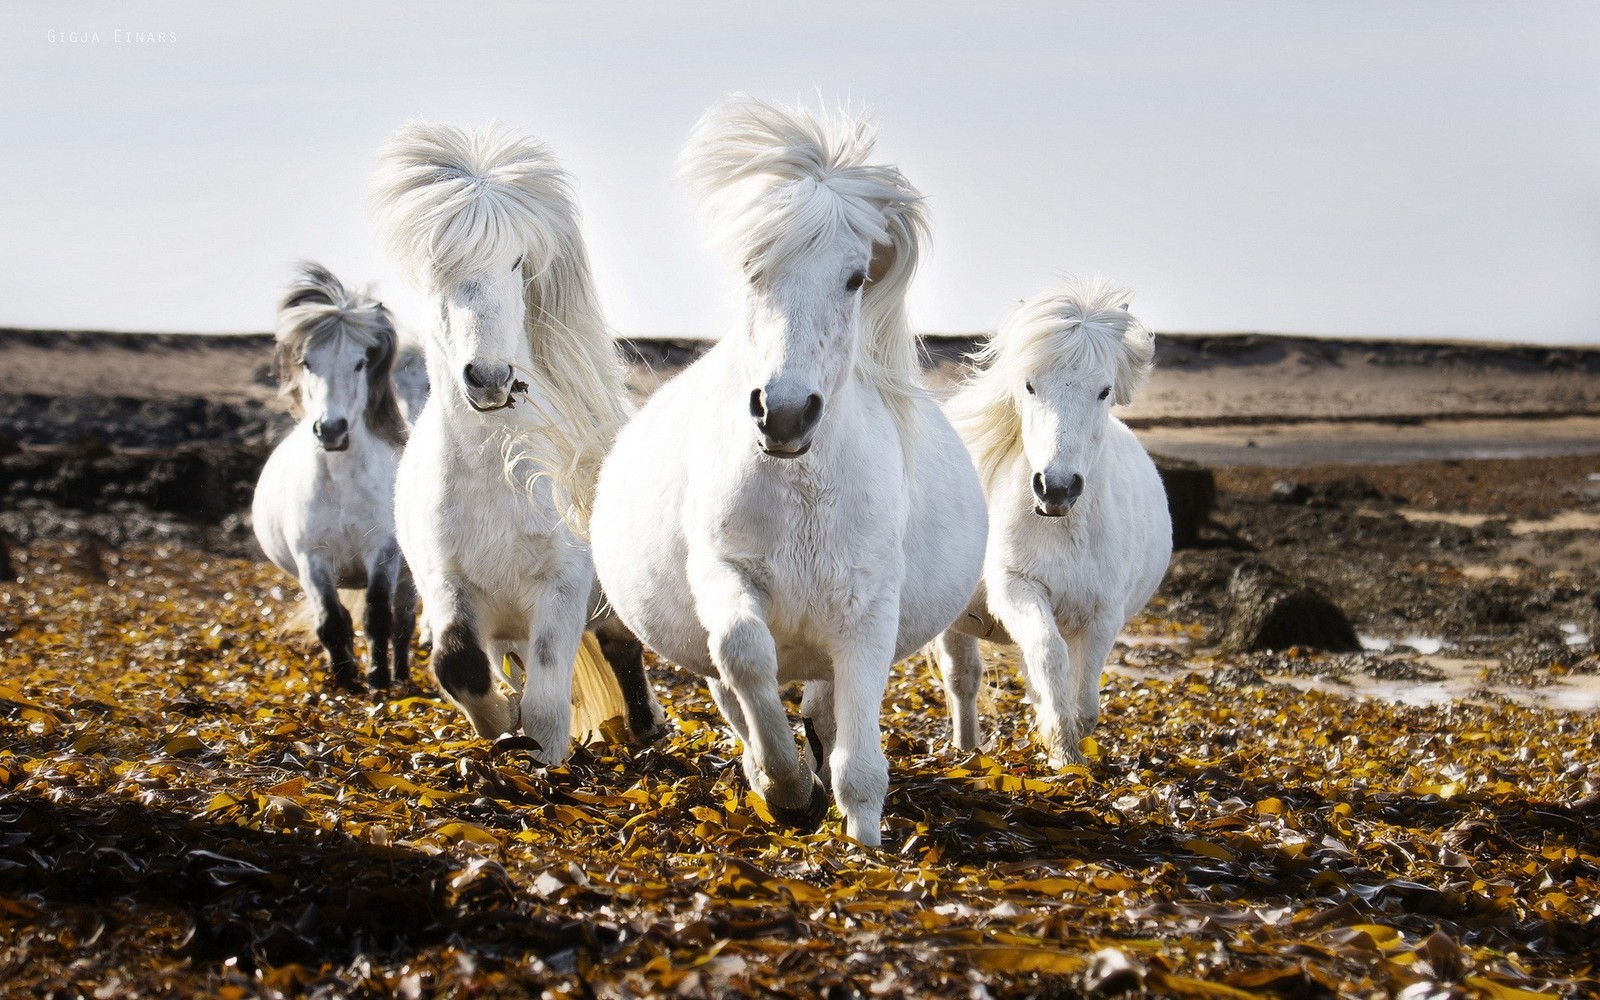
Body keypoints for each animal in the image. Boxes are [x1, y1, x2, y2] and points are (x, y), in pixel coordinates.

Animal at [252, 260, 416, 691]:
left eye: (360, 363)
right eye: (308, 362)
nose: (331, 430)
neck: (341, 484)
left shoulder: (383, 554)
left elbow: (377, 618)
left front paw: (378, 679)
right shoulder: (313, 560)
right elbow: (331, 622)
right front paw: (344, 680)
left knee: (404, 622)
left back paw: (401, 675)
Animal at [368, 120, 662, 761]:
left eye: (516, 262)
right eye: (438, 266)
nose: (489, 378)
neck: (498, 474)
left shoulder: (562, 586)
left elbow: (549, 704)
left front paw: (544, 762)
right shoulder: (447, 586)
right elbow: (458, 666)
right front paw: (500, 728)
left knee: (621, 647)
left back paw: (647, 726)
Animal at [588, 97, 985, 844]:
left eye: (855, 277)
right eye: (752, 267)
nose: (785, 413)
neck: (804, 495)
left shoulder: (867, 610)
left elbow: (860, 760)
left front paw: (861, 838)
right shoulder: (726, 576)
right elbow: (745, 655)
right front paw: (787, 788)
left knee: (824, 708)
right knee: (736, 688)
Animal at [934, 273, 1171, 764]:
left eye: (1103, 390)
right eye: (1029, 386)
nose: (1056, 488)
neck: (1065, 529)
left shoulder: (1103, 613)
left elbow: (1084, 696)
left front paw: (1072, 748)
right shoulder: (1018, 589)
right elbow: (1048, 653)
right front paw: (1062, 751)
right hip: (955, 621)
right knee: (963, 679)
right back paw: (967, 752)